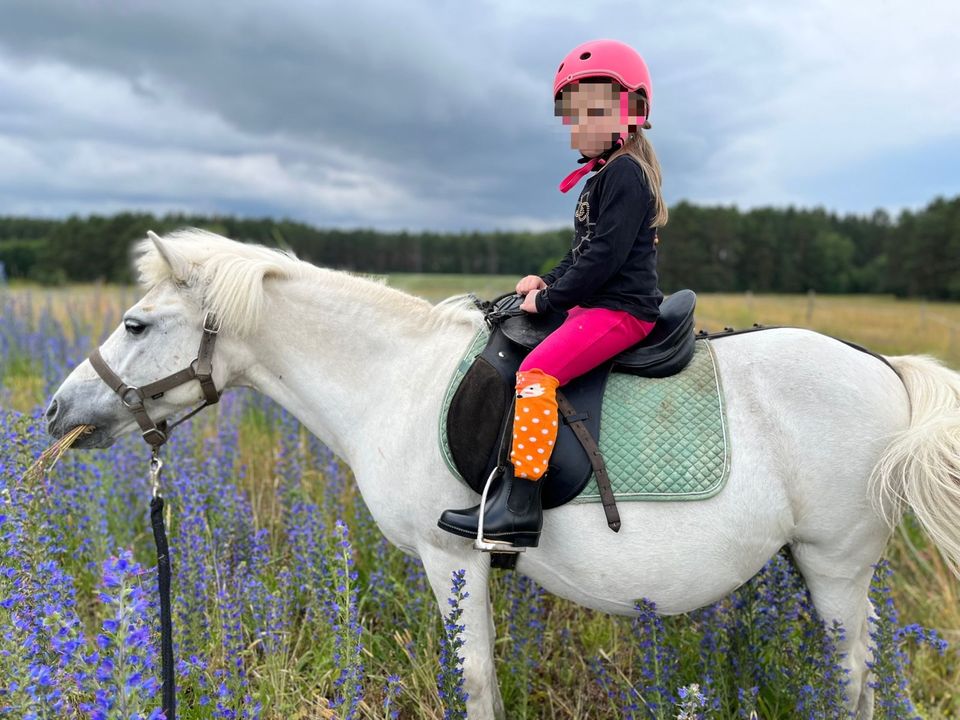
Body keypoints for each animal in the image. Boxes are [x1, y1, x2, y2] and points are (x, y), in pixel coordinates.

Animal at [47, 232, 960, 720]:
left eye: (137, 323)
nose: (56, 412)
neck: (396, 379)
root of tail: (887, 370)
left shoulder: (453, 558)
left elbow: (475, 680)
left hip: (837, 568)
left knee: (854, 685)